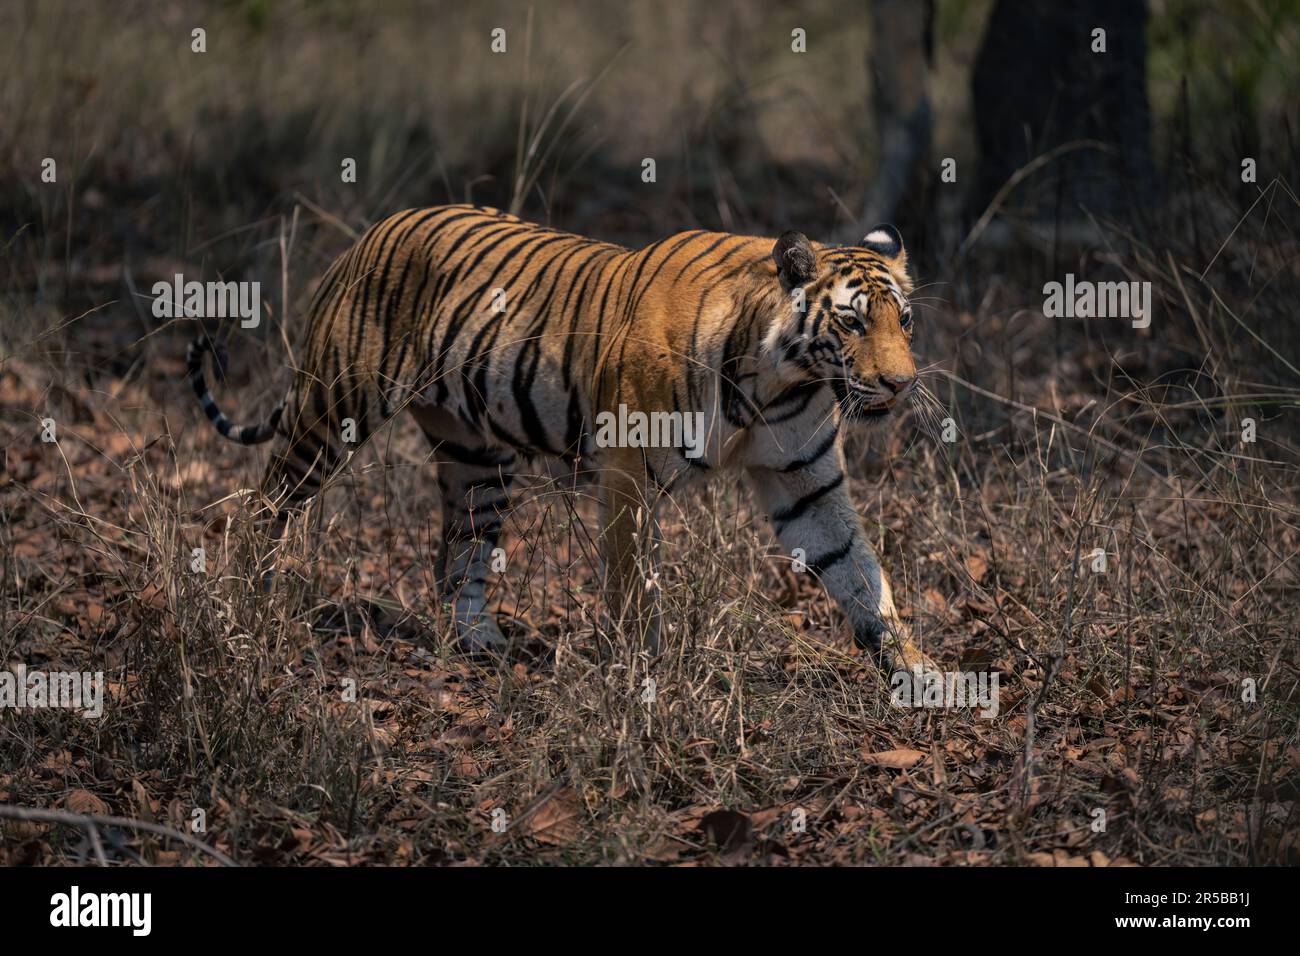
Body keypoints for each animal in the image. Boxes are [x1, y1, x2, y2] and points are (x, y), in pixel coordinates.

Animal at [187, 204, 937, 673]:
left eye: (903, 321)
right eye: (850, 323)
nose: (902, 384)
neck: (780, 378)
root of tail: (374, 229)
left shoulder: (806, 478)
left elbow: (860, 574)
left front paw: (918, 672)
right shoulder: (630, 469)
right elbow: (631, 581)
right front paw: (642, 671)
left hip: (477, 460)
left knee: (460, 557)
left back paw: (484, 645)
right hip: (333, 409)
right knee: (264, 506)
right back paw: (247, 606)